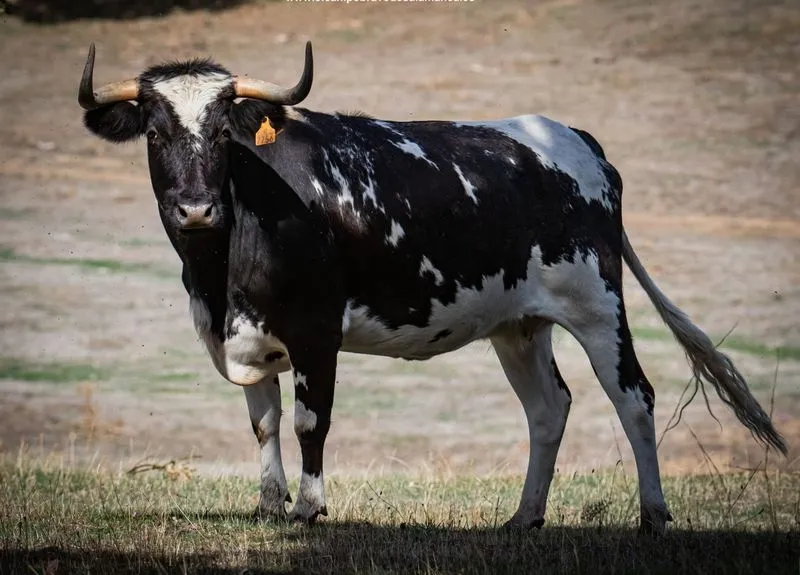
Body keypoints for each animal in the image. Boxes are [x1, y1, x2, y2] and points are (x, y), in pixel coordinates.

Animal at [77, 42, 786, 535]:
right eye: (155, 132)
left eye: (224, 132)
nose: (195, 209)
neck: (222, 271)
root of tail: (574, 139)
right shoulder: (250, 337)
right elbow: (264, 423)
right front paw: (270, 505)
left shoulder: (315, 331)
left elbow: (310, 420)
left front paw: (308, 508)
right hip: (517, 324)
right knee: (548, 408)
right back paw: (524, 518)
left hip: (597, 304)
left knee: (633, 396)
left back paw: (653, 515)